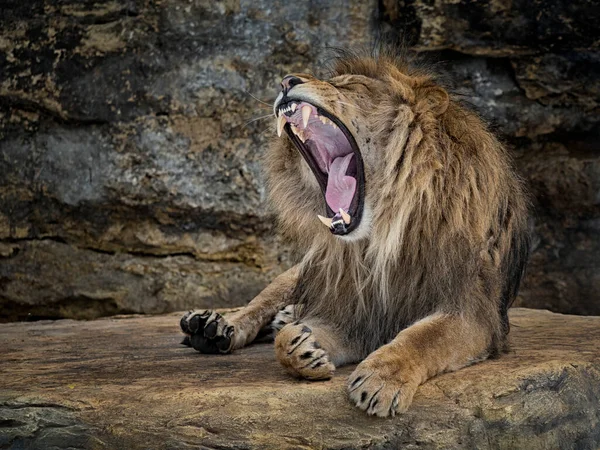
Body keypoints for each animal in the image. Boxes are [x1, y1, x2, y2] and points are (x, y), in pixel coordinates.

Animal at [179, 51, 528, 416]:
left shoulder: (473, 312)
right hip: (301, 271)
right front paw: (301, 345)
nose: (286, 81)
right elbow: (284, 341)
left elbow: (424, 339)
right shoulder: (356, 310)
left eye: (351, 86)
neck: (380, 237)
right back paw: (212, 327)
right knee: (261, 301)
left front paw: (381, 380)